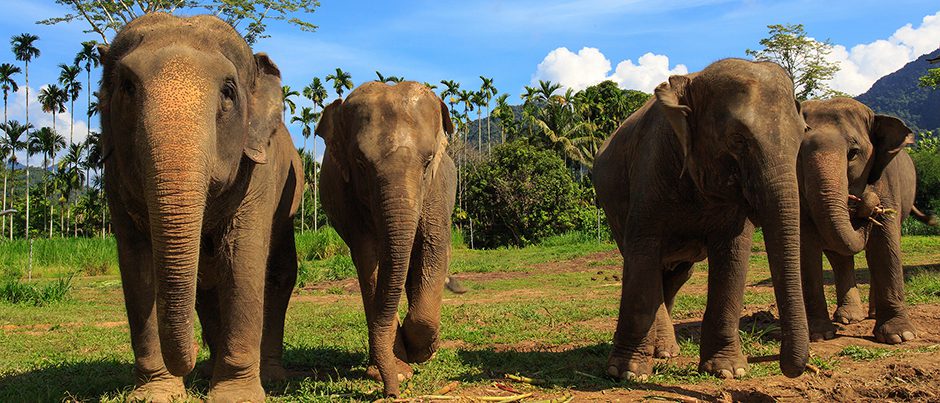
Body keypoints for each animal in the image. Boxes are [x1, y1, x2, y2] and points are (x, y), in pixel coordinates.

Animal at [99, 14, 302, 402]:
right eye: (127, 87)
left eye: (228, 92)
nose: (191, 358)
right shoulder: (113, 176)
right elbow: (136, 263)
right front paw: (156, 393)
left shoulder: (259, 172)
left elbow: (242, 259)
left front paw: (235, 395)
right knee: (206, 282)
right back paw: (210, 370)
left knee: (278, 272)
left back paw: (269, 375)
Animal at [316, 81, 457, 396]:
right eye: (360, 162)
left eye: (428, 161)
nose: (391, 392)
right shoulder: (348, 199)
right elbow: (369, 260)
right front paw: (401, 370)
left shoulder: (437, 190)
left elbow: (433, 248)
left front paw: (423, 352)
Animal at [593, 59, 810, 381]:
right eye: (737, 140)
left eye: (802, 136)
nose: (786, 364)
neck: (692, 82)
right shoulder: (650, 165)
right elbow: (642, 250)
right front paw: (626, 374)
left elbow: (733, 256)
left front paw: (729, 371)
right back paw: (660, 352)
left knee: (677, 275)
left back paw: (665, 351)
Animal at [797, 97, 934, 344]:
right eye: (799, 155)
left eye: (853, 153)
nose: (869, 205)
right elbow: (807, 245)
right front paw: (819, 335)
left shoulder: (886, 179)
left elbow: (885, 243)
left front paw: (900, 336)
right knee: (840, 257)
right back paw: (847, 318)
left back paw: (872, 314)